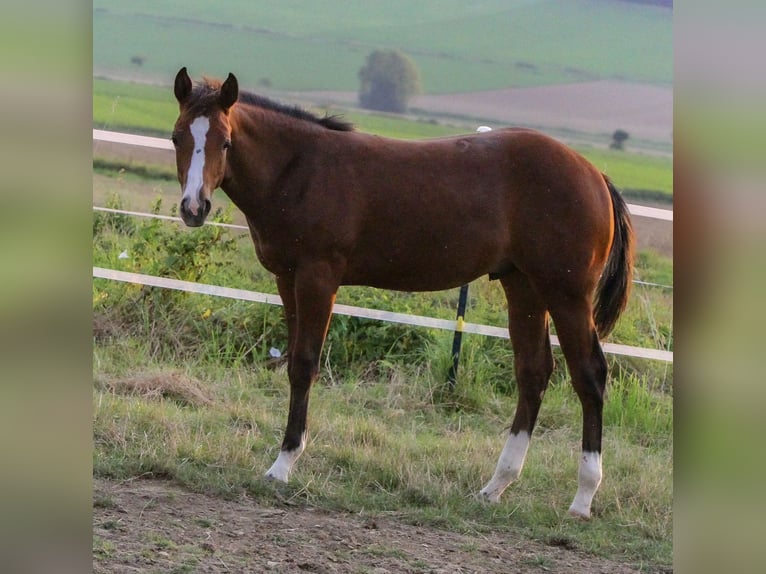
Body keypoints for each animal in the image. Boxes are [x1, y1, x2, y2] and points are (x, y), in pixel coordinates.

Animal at [174, 68, 636, 520]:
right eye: (179, 137)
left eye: (226, 141)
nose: (194, 208)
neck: (300, 170)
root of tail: (596, 175)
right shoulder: (287, 281)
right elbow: (292, 362)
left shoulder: (318, 278)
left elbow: (305, 364)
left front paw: (283, 464)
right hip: (523, 286)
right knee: (534, 373)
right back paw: (495, 486)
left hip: (567, 293)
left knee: (589, 375)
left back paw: (582, 498)